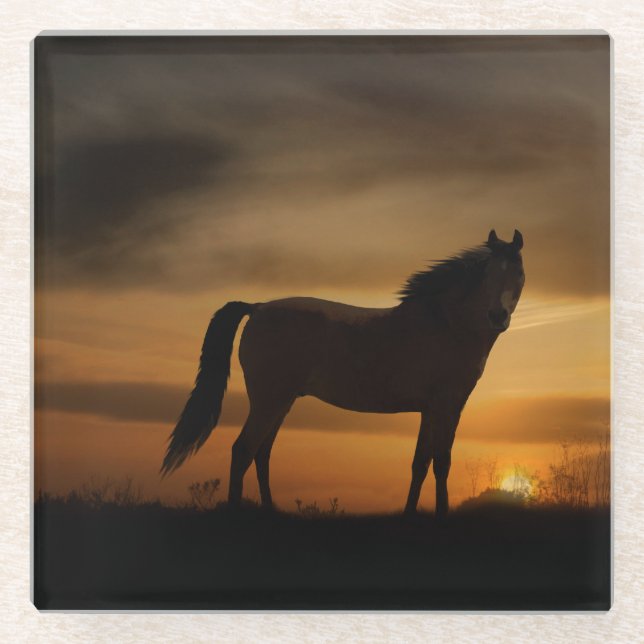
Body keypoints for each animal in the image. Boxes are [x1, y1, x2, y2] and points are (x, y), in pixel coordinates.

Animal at [161, 229, 525, 517]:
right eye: (487, 273)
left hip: (281, 402)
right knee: (243, 451)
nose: (497, 316)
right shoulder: (448, 406)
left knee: (262, 454)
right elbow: (441, 462)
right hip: (268, 402)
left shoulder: (429, 409)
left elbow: (420, 463)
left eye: (518, 273)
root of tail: (257, 308)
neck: (445, 324)